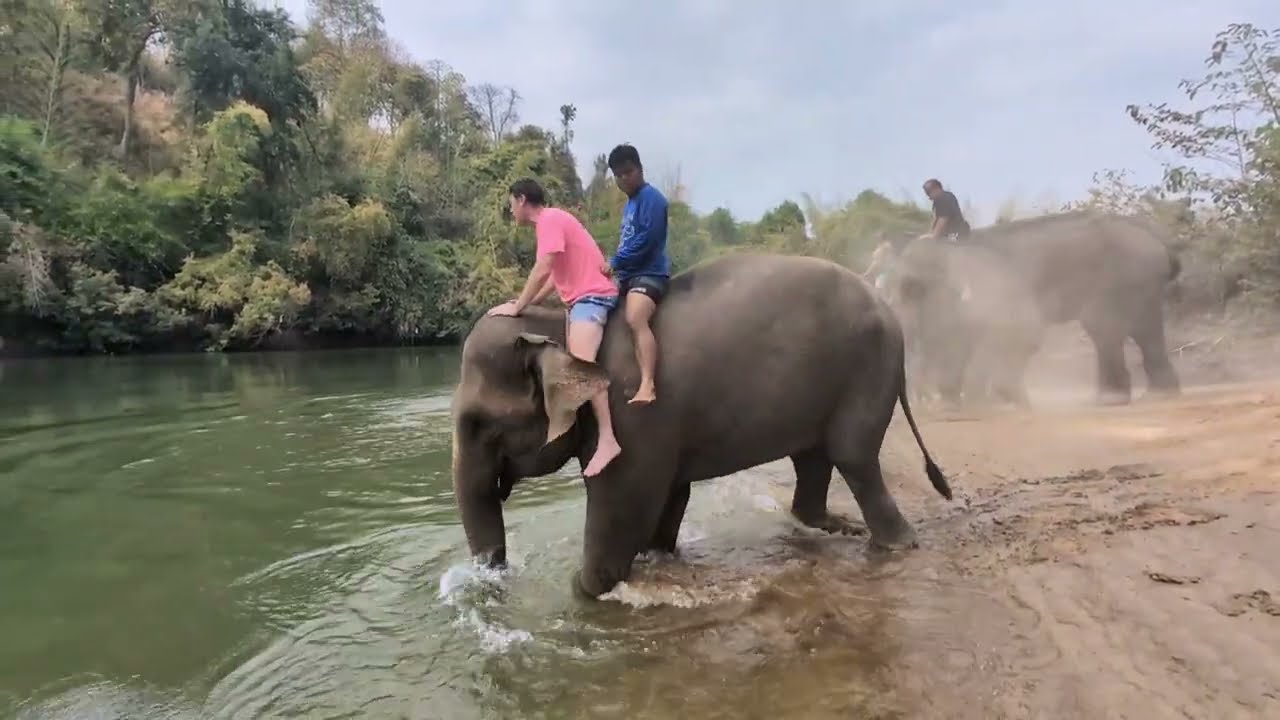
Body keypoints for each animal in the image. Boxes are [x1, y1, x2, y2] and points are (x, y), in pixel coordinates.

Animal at [451, 252, 952, 599]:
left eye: (477, 424)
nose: (494, 577)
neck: (562, 323)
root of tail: (890, 310)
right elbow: (670, 498)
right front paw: (657, 558)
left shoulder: (631, 417)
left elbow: (622, 507)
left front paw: (585, 588)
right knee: (813, 457)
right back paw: (835, 526)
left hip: (867, 369)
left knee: (853, 456)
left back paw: (897, 545)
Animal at [887, 211, 1182, 407]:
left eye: (910, 288)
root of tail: (1159, 240)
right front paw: (968, 403)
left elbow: (1018, 333)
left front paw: (1005, 401)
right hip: (1139, 283)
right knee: (1142, 331)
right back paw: (1155, 395)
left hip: (1124, 278)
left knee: (1107, 328)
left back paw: (1112, 399)